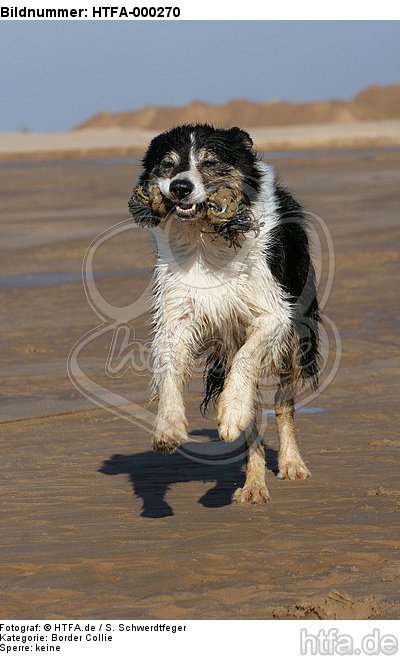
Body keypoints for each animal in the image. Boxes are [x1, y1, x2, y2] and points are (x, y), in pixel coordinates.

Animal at [133, 124, 320, 502]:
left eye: (210, 162)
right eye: (168, 164)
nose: (180, 187)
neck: (207, 238)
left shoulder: (274, 312)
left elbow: (248, 362)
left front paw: (231, 412)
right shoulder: (178, 315)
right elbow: (170, 369)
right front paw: (168, 427)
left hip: (296, 338)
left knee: (283, 401)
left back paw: (292, 464)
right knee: (255, 419)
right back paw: (253, 486)